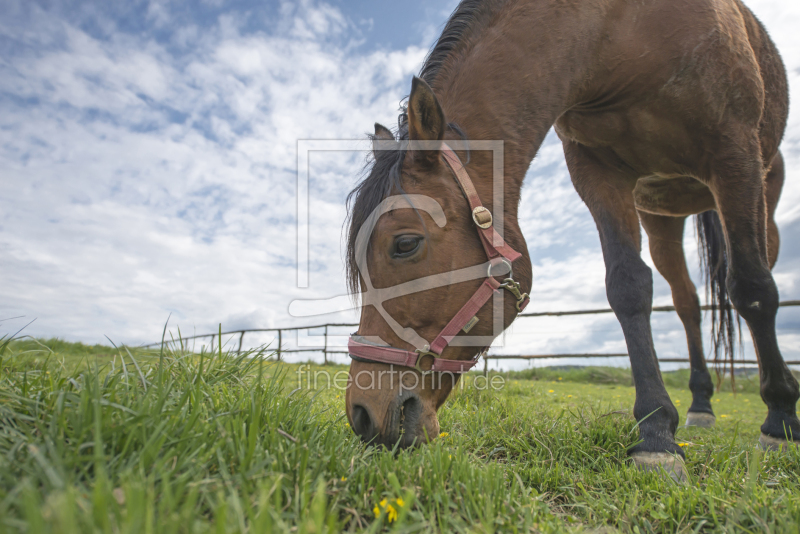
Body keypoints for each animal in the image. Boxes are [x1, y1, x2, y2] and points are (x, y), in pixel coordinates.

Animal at [340, 0, 796, 482]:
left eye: (405, 244)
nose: (363, 413)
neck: (620, 32)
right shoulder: (596, 171)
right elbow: (628, 287)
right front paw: (656, 434)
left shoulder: (734, 151)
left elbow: (752, 288)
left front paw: (781, 420)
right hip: (660, 218)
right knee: (687, 304)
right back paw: (702, 406)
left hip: (761, 190)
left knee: (754, 280)